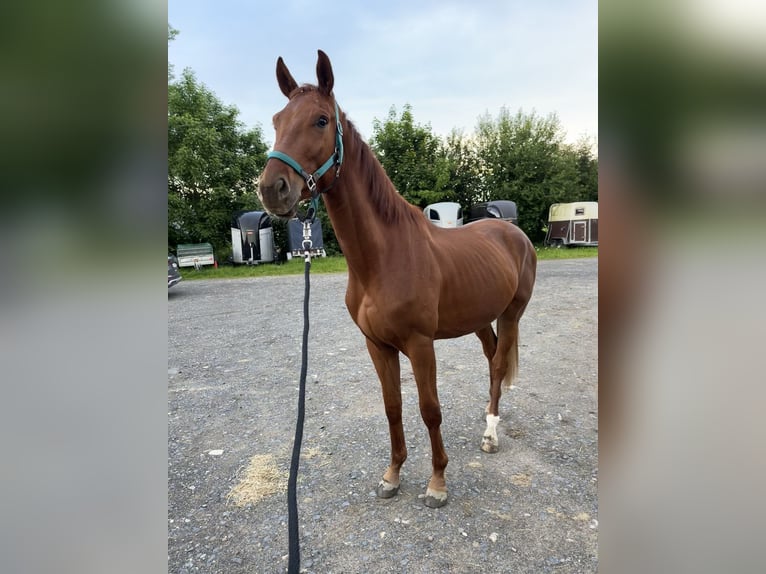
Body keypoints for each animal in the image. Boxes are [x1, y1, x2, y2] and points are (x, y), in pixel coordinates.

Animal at [258, 49, 536, 508]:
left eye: (321, 120)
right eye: (277, 119)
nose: (271, 189)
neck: (383, 258)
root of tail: (513, 233)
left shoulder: (421, 345)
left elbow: (429, 409)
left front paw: (437, 482)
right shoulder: (377, 345)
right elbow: (393, 408)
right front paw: (392, 475)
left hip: (512, 313)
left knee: (498, 364)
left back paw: (491, 434)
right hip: (481, 318)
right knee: (492, 358)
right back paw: (489, 418)